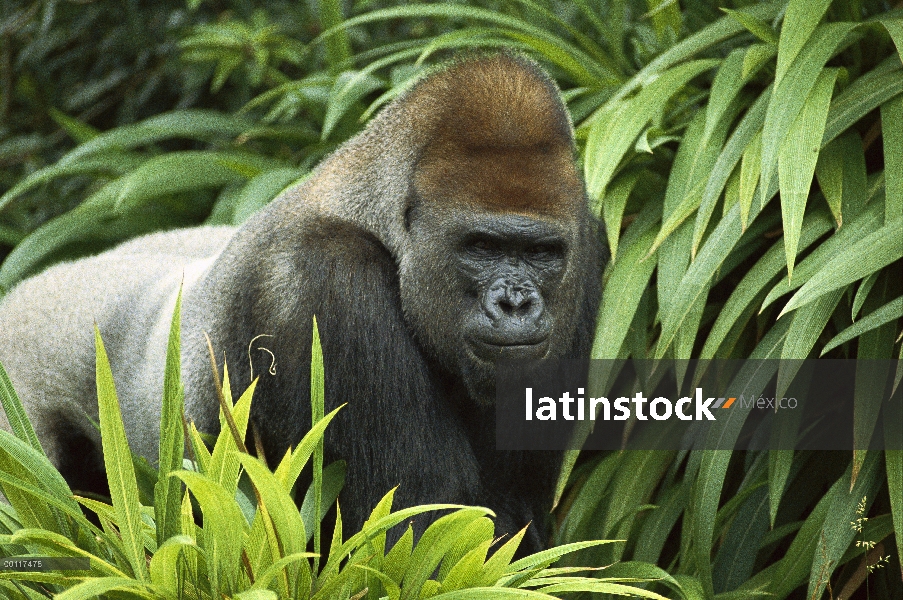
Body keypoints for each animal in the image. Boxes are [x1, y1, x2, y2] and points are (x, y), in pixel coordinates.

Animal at [1, 52, 608, 552]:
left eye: (542, 253)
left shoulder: (588, 249)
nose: (516, 304)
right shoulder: (331, 282)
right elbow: (426, 534)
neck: (371, 211)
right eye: (481, 247)